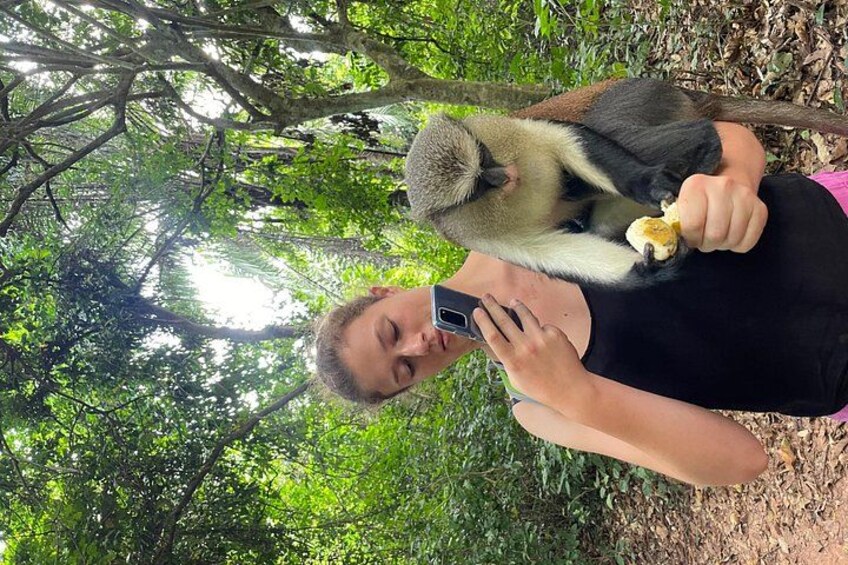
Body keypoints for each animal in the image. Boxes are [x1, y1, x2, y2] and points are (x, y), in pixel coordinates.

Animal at [404, 78, 848, 288]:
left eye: (484, 158)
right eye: (478, 186)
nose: (504, 175)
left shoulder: (511, 128)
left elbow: (568, 138)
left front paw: (648, 184)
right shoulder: (479, 240)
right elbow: (548, 250)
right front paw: (647, 270)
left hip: (636, 97)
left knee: (610, 128)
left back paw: (702, 144)